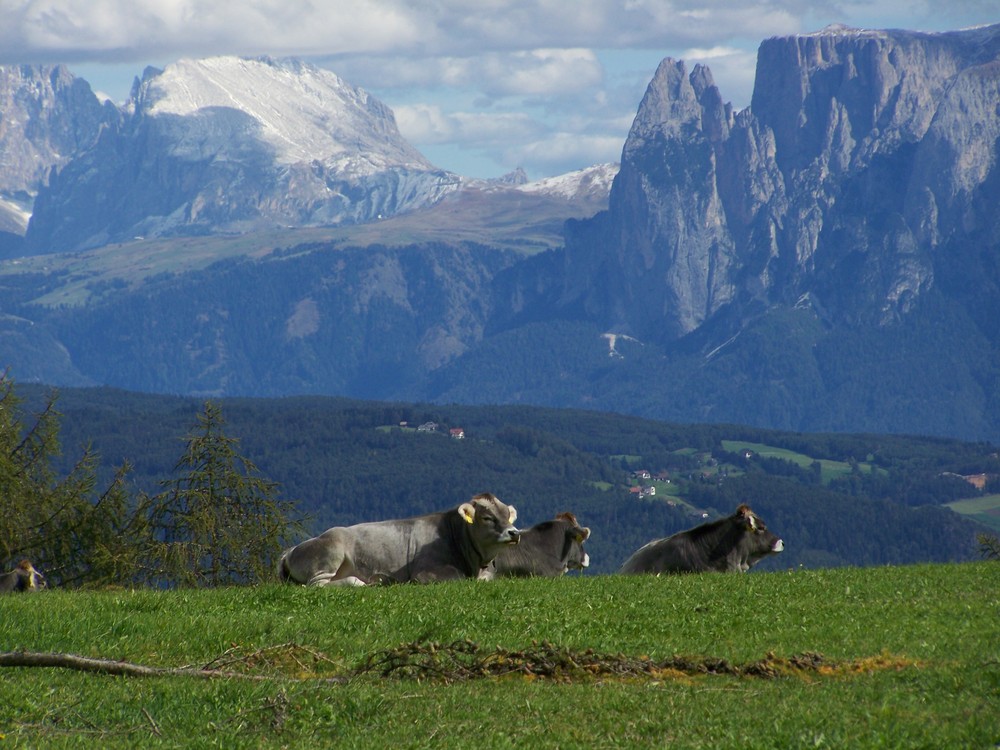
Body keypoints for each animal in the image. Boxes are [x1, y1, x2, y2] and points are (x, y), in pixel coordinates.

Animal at [278, 494, 520, 588]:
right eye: (487, 517)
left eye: (508, 516)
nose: (514, 533)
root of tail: (290, 549)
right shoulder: (426, 571)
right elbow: (457, 578)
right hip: (331, 551)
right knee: (318, 584)